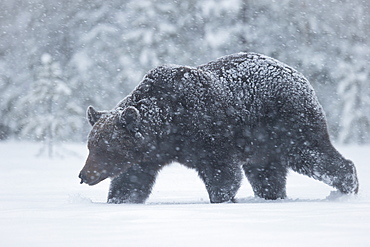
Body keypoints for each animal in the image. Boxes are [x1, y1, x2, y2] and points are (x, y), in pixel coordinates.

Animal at [78, 52, 358, 203]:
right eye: (90, 146)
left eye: (105, 148)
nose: (84, 175)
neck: (168, 129)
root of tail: (299, 75)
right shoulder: (147, 156)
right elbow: (131, 181)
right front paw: (118, 200)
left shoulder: (209, 133)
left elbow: (222, 173)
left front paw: (222, 198)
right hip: (261, 146)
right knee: (266, 174)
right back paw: (271, 196)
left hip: (286, 123)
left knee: (312, 153)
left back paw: (349, 185)